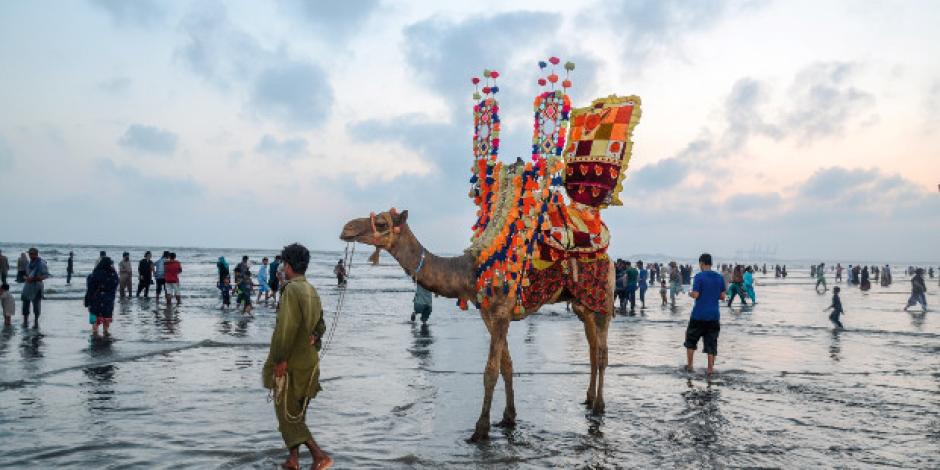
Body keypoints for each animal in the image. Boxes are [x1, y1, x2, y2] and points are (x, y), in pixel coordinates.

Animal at [342, 57, 644, 440]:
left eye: (381, 223)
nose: (347, 228)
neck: (470, 270)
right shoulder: (488, 313)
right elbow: (507, 366)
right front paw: (508, 418)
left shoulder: (500, 312)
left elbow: (489, 370)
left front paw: (480, 429)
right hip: (581, 303)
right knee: (592, 348)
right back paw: (588, 400)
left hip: (602, 295)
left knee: (602, 350)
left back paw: (600, 406)